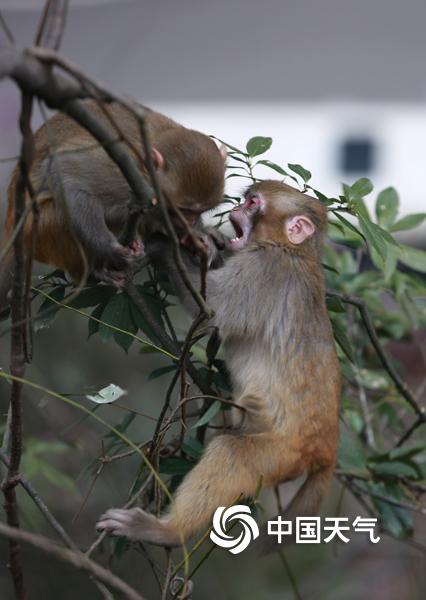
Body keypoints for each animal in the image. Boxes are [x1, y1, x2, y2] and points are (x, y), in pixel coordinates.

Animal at [0, 99, 227, 310]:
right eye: (184, 211)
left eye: (200, 211)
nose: (190, 222)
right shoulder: (121, 172)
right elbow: (65, 170)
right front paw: (108, 248)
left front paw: (198, 236)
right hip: (38, 232)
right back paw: (96, 270)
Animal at [96, 179, 341, 549]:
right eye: (244, 200)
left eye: (253, 203)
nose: (236, 209)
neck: (293, 250)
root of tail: (325, 450)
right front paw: (208, 238)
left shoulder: (264, 268)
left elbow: (213, 307)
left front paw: (160, 243)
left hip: (281, 454)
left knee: (232, 454)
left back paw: (167, 531)